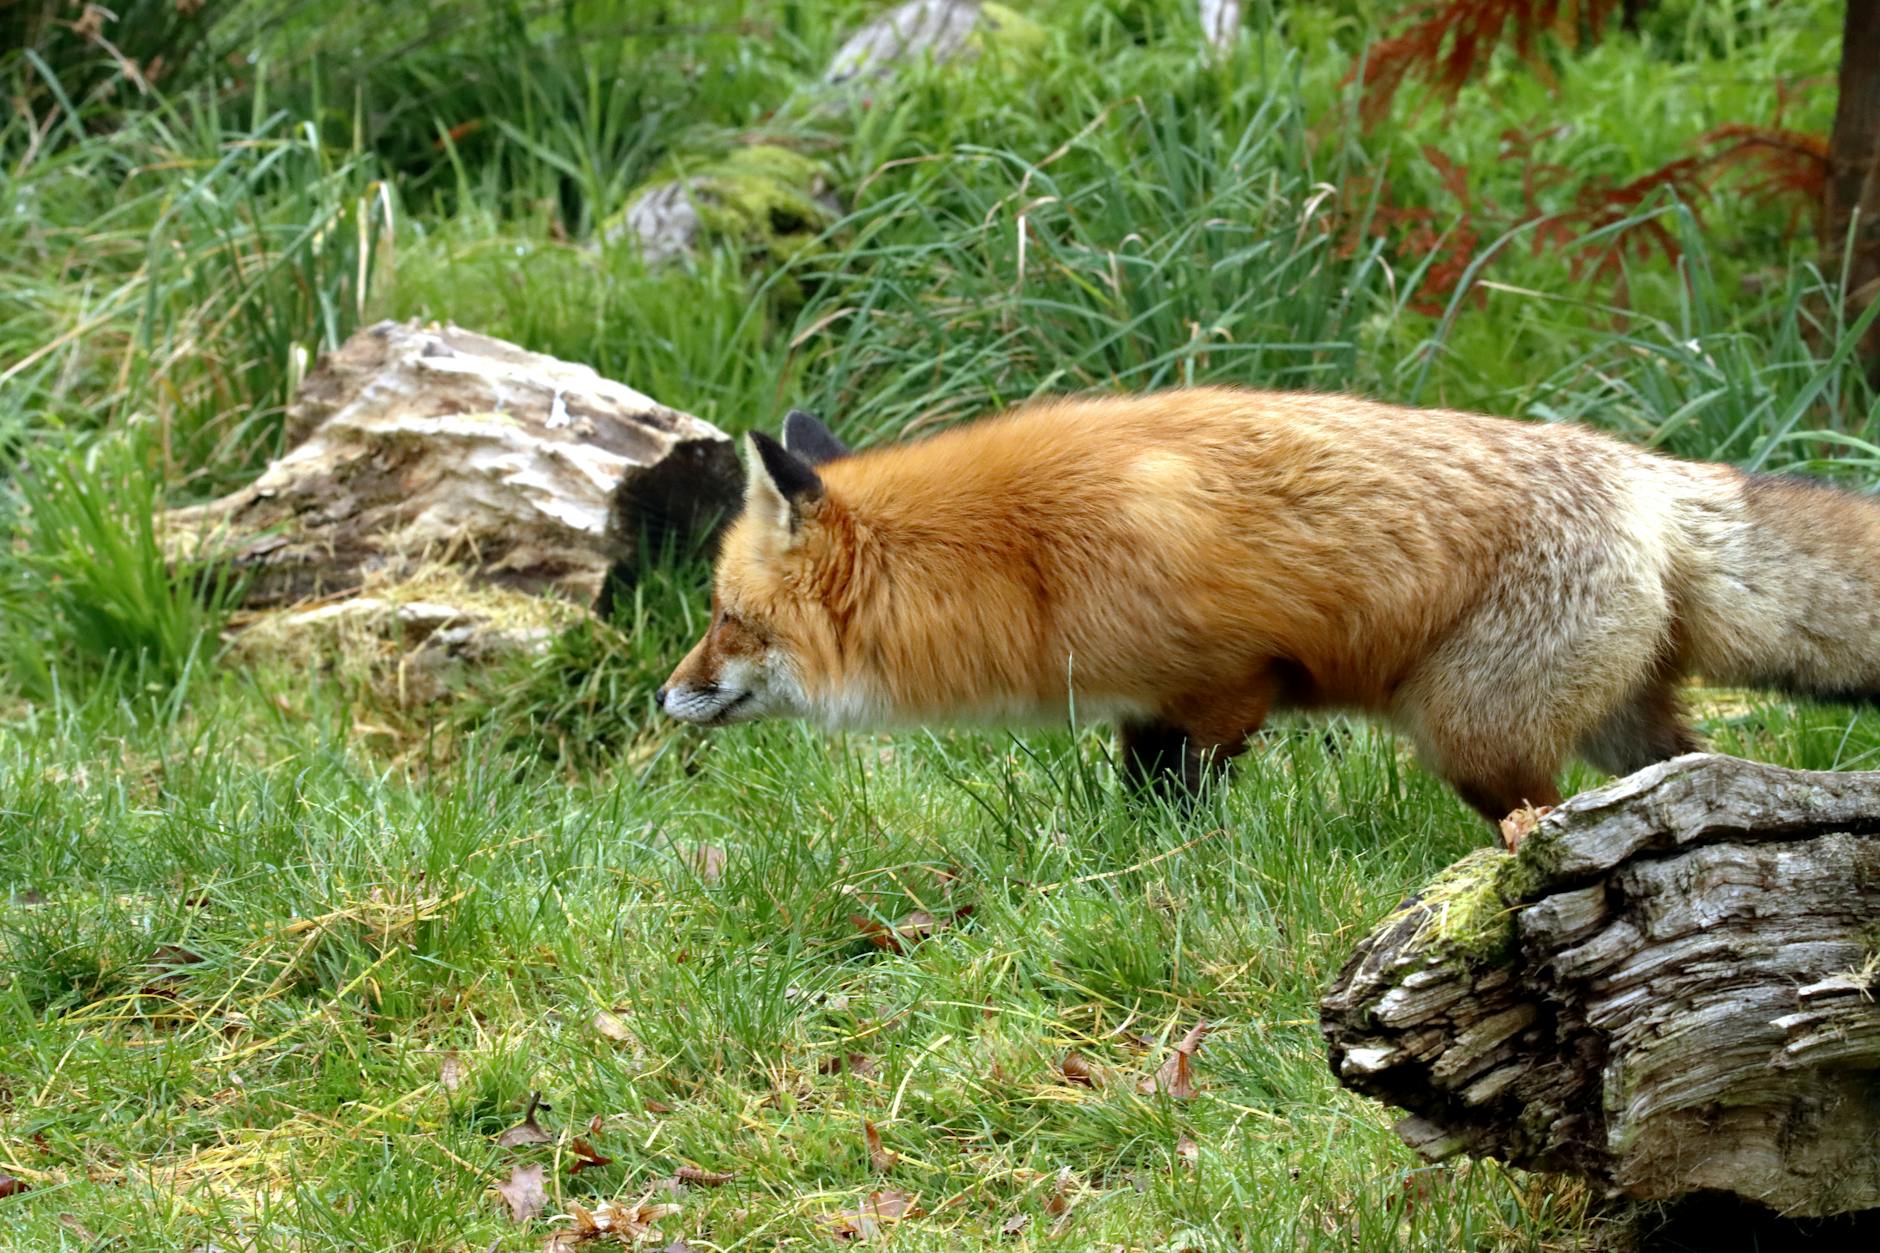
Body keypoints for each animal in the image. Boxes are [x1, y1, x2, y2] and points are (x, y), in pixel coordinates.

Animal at [657, 388, 1880, 824]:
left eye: (726, 618)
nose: (666, 695)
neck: (1022, 563)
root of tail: (1643, 471)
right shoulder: (1142, 704)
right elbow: (1138, 796)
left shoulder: (1223, 684)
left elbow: (1179, 803)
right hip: (1617, 725)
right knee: (1701, 770)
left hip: (1472, 732)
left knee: (1536, 812)